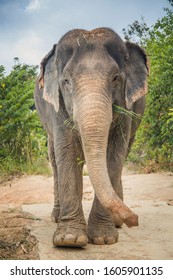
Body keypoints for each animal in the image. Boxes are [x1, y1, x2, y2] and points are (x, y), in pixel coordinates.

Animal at [34, 27, 149, 247]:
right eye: (66, 81)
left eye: (116, 78)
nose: (135, 220)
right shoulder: (58, 107)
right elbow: (67, 152)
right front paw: (69, 240)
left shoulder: (126, 108)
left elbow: (114, 155)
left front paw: (103, 239)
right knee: (54, 159)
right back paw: (56, 217)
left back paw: (116, 222)